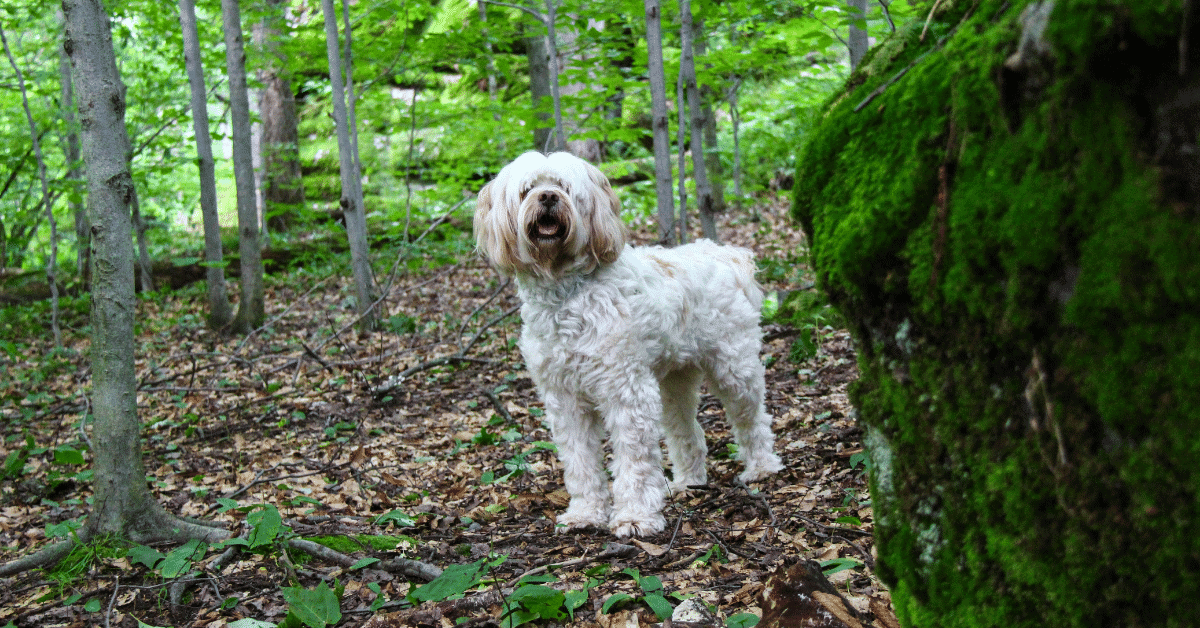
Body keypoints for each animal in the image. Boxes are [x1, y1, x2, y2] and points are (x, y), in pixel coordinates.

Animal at [472, 151, 782, 535]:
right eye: (527, 189)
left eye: (564, 187)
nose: (547, 197)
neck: (566, 295)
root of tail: (722, 254)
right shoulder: (564, 399)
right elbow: (580, 461)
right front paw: (585, 513)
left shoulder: (626, 390)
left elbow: (634, 459)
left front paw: (635, 516)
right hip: (674, 382)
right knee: (686, 430)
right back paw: (688, 480)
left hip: (734, 367)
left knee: (752, 418)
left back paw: (762, 467)